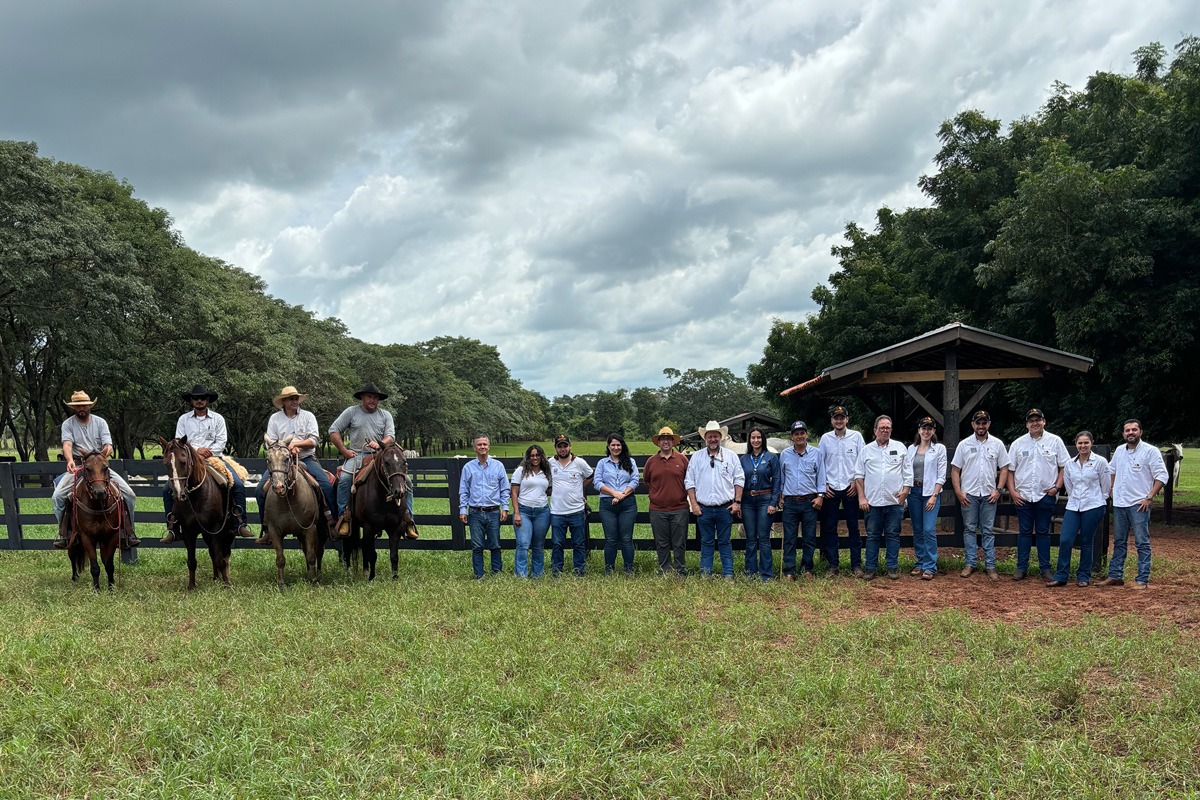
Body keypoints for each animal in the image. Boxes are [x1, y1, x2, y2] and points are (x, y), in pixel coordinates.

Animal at [66, 453, 123, 592]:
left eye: (106, 467)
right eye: (87, 468)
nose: (100, 492)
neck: (98, 507)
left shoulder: (112, 536)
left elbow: (109, 564)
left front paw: (111, 588)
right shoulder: (87, 537)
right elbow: (95, 567)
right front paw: (97, 590)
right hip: (72, 537)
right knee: (72, 555)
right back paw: (75, 577)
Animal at [158, 434, 235, 592]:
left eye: (183, 461)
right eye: (165, 463)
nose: (178, 494)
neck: (197, 496)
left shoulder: (216, 529)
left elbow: (220, 558)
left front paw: (226, 585)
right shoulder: (188, 531)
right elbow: (192, 561)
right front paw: (191, 586)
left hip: (227, 532)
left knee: (224, 553)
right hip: (206, 534)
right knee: (213, 552)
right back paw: (215, 577)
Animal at [262, 438, 328, 587]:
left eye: (287, 458)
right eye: (268, 459)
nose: (279, 487)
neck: (288, 501)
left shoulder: (310, 529)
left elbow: (311, 555)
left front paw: (314, 580)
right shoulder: (274, 530)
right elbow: (280, 558)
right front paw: (281, 584)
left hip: (319, 530)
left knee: (318, 551)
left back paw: (317, 574)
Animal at [343, 443, 422, 582]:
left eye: (404, 462)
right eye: (386, 462)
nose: (399, 492)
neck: (384, 499)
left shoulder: (396, 527)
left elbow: (394, 555)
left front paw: (395, 577)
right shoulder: (369, 527)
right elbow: (372, 555)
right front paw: (371, 578)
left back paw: (365, 570)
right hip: (353, 525)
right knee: (349, 543)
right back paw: (350, 571)